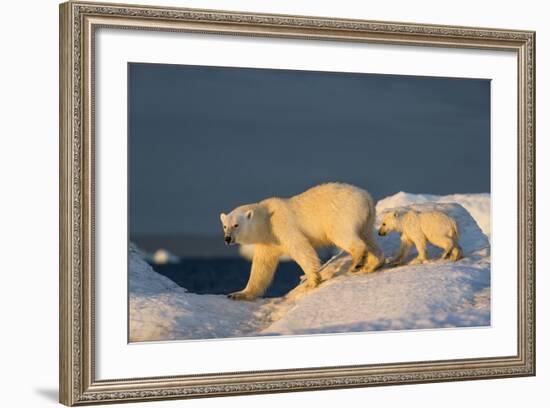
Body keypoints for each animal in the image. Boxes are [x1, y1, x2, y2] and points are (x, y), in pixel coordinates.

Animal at [219, 182, 384, 300]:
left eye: (236, 225)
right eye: (225, 226)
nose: (227, 238)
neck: (265, 220)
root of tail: (366, 197)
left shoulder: (282, 226)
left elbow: (300, 248)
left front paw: (312, 281)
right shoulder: (267, 242)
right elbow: (261, 267)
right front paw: (238, 293)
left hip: (342, 214)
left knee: (343, 235)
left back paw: (356, 263)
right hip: (367, 219)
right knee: (368, 237)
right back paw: (373, 263)